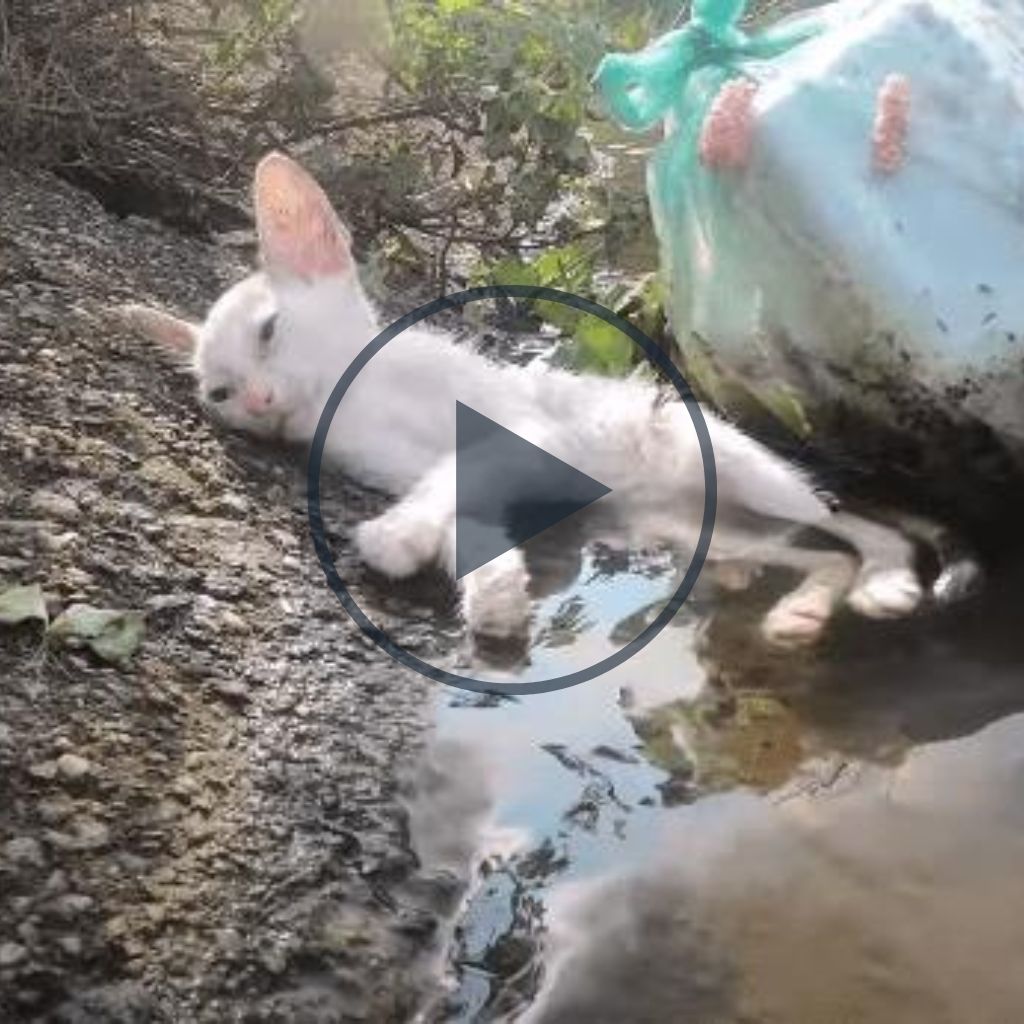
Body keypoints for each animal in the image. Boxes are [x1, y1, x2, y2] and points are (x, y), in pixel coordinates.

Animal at [123, 151, 933, 647]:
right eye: (220, 392)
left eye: (269, 331)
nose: (258, 403)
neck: (352, 405)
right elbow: (465, 515)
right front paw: (493, 590)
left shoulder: (522, 431)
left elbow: (450, 476)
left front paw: (397, 536)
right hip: (701, 526)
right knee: (815, 553)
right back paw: (799, 608)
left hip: (749, 478)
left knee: (864, 528)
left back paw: (885, 579)